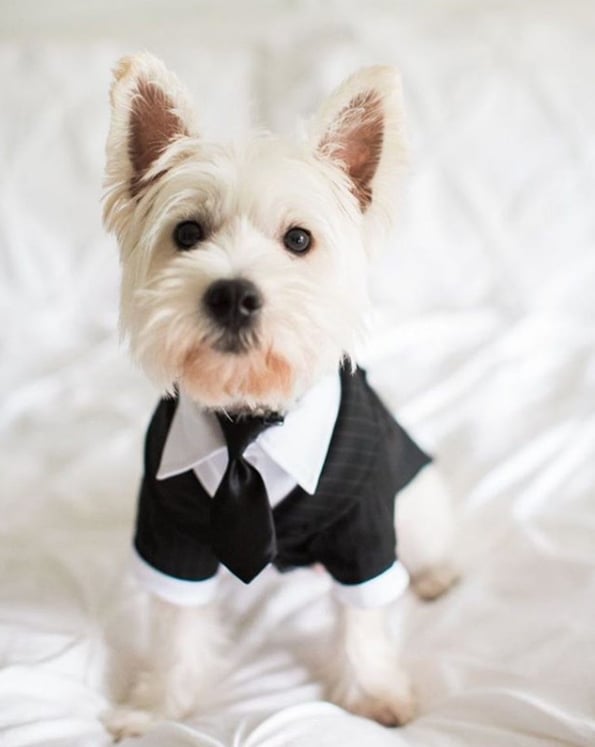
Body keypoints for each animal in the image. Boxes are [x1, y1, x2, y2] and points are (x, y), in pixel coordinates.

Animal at [102, 54, 458, 744]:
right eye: (187, 232)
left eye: (298, 240)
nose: (234, 294)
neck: (249, 420)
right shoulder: (168, 531)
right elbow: (177, 629)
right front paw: (158, 707)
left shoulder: (364, 530)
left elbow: (364, 620)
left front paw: (374, 694)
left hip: (415, 497)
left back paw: (434, 574)